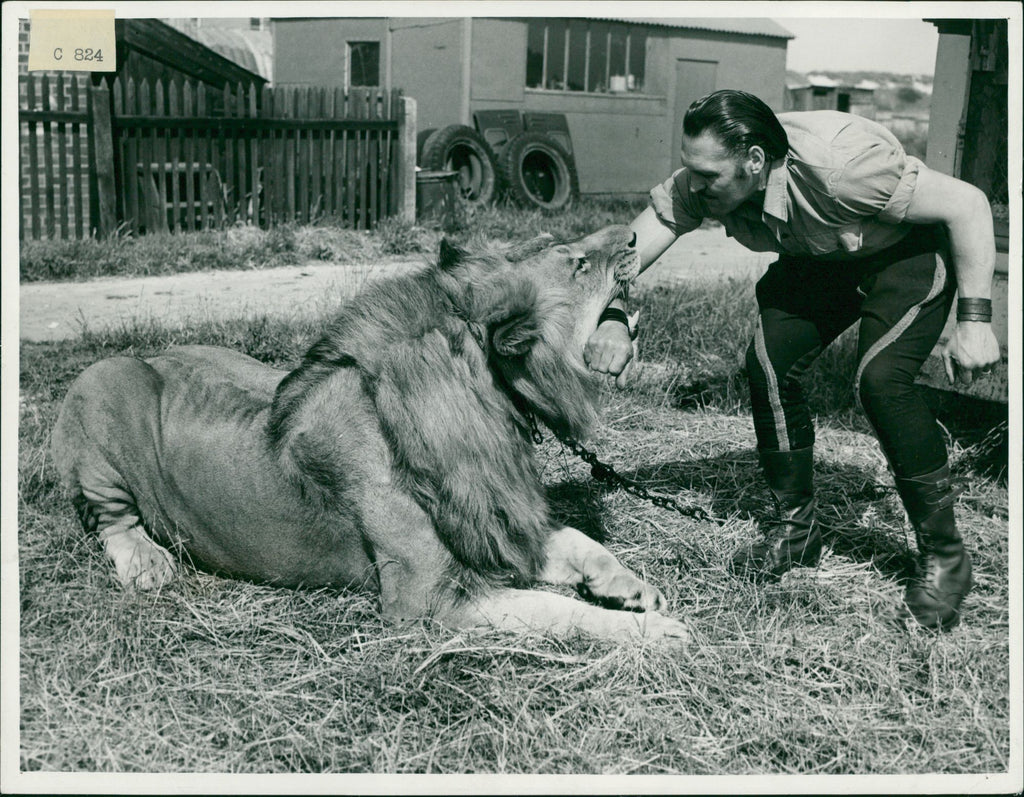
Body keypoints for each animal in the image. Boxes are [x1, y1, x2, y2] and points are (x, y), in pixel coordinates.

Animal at [51, 225, 689, 642]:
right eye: (577, 263)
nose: (635, 238)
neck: (488, 404)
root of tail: (155, 354)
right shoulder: (424, 600)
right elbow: (557, 612)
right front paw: (655, 633)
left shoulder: (499, 525)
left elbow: (579, 540)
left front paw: (633, 590)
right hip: (104, 380)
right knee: (110, 520)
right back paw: (147, 564)